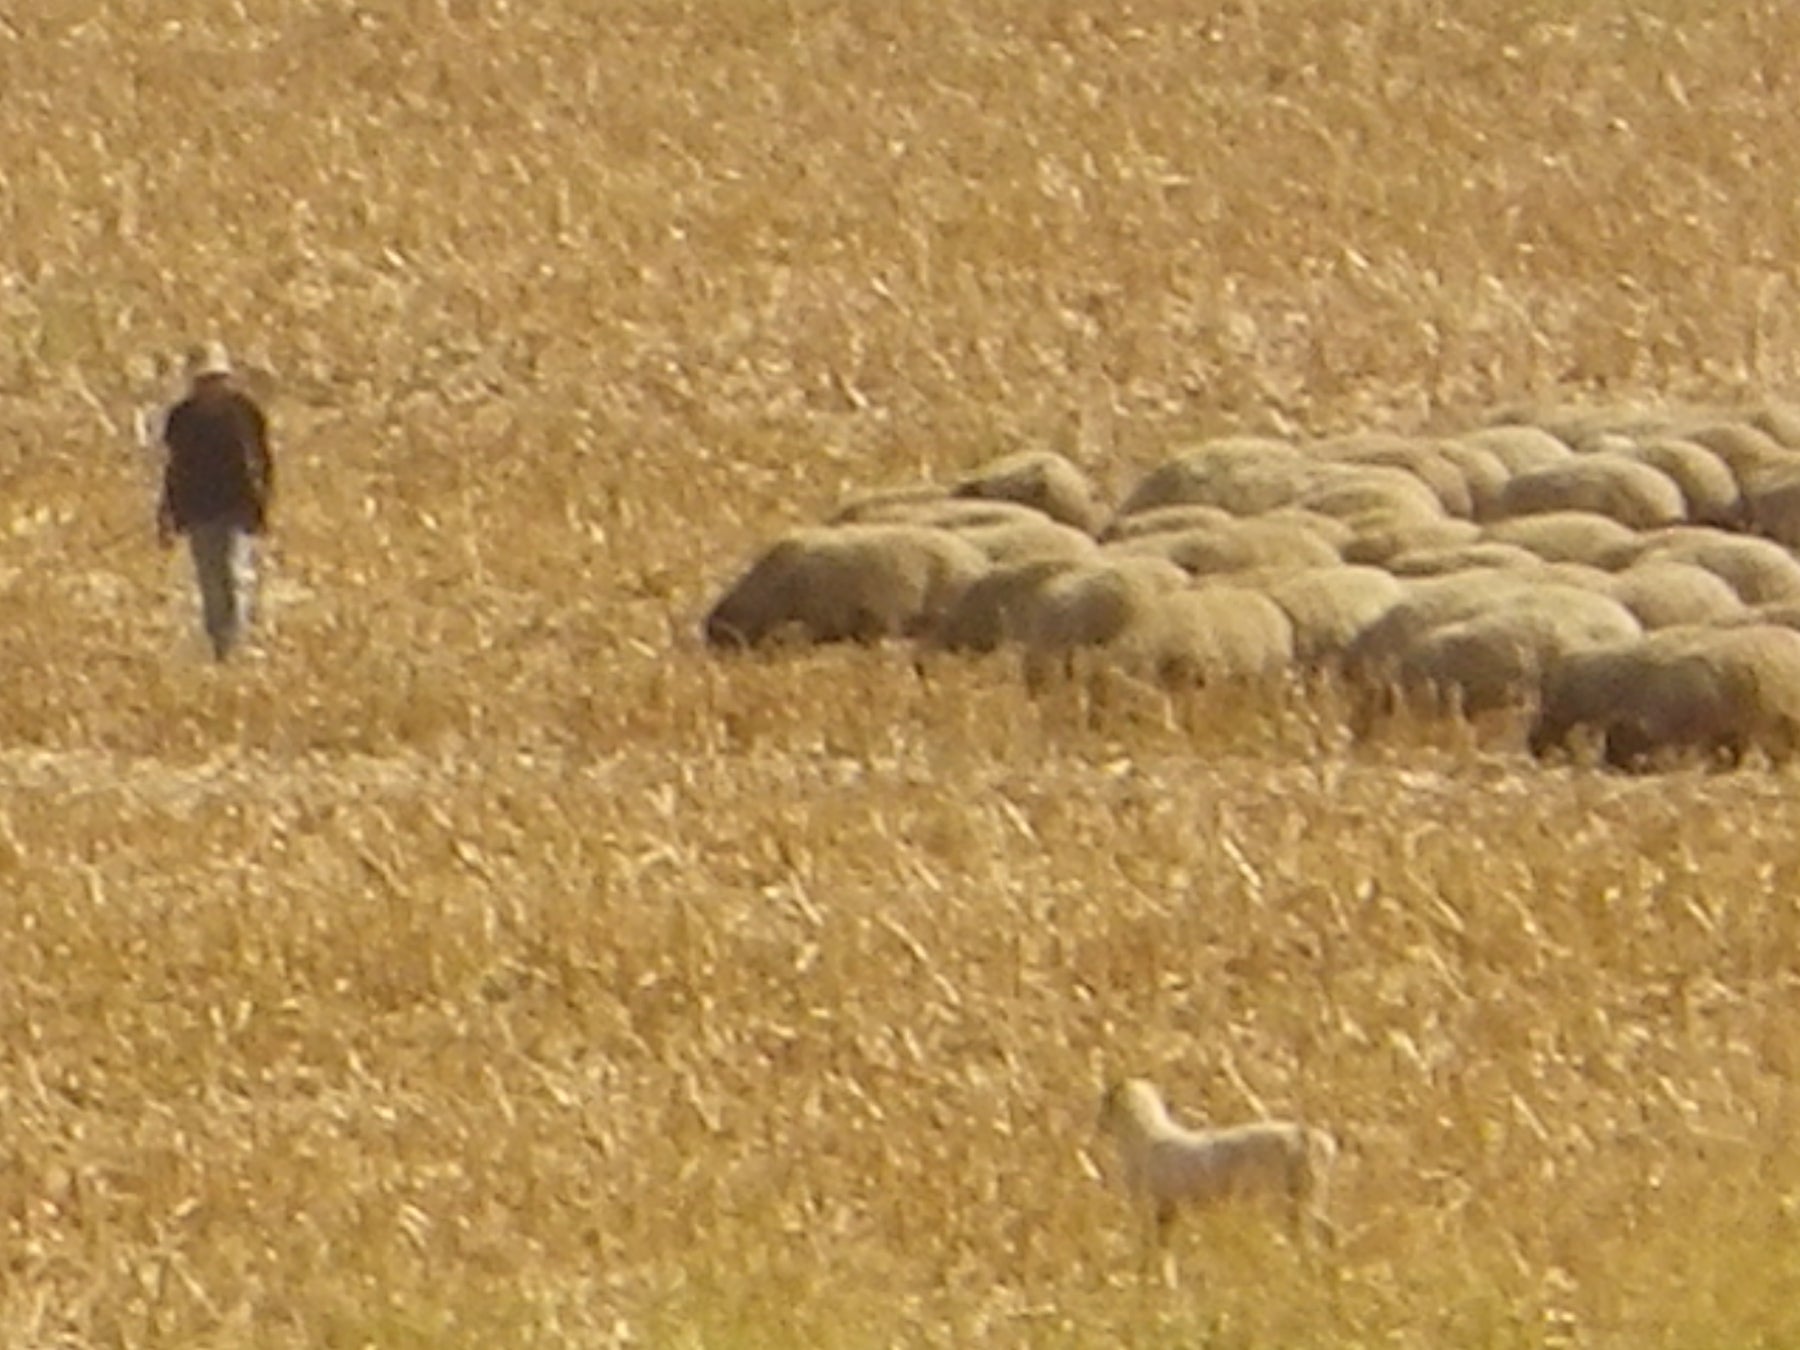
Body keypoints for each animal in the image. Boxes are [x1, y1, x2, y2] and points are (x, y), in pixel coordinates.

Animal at [1094, 1080, 1339, 1260]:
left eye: (1105, 1103)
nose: (1098, 1125)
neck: (1145, 1140)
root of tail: (1314, 1138)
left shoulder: (1152, 1205)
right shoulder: (1169, 1210)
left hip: (1288, 1198)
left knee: (1312, 1237)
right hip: (1309, 1196)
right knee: (1327, 1232)